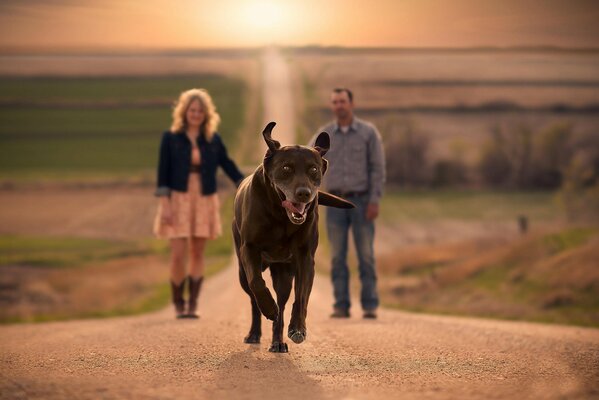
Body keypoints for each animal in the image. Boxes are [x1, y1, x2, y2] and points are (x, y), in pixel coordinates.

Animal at [232, 120, 354, 352]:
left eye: (313, 169)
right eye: (286, 168)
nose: (304, 193)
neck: (281, 216)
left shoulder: (305, 257)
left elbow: (302, 296)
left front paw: (298, 328)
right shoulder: (249, 249)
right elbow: (257, 283)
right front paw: (268, 307)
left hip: (284, 274)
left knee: (282, 302)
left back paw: (278, 342)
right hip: (242, 272)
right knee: (253, 298)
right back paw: (255, 332)